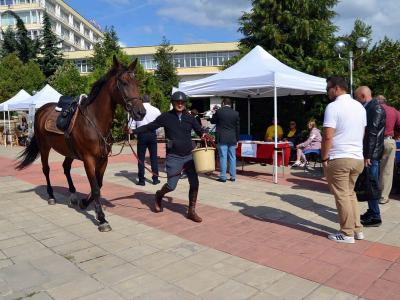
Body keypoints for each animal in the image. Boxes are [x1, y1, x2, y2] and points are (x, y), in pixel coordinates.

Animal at [16, 56, 147, 232]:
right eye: (124, 82)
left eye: (137, 83)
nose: (141, 112)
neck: (95, 122)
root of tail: (40, 110)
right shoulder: (88, 159)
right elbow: (96, 188)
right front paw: (102, 219)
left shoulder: (103, 159)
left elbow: (99, 184)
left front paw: (85, 203)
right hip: (44, 147)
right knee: (46, 169)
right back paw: (51, 196)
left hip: (69, 151)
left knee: (66, 168)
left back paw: (72, 195)